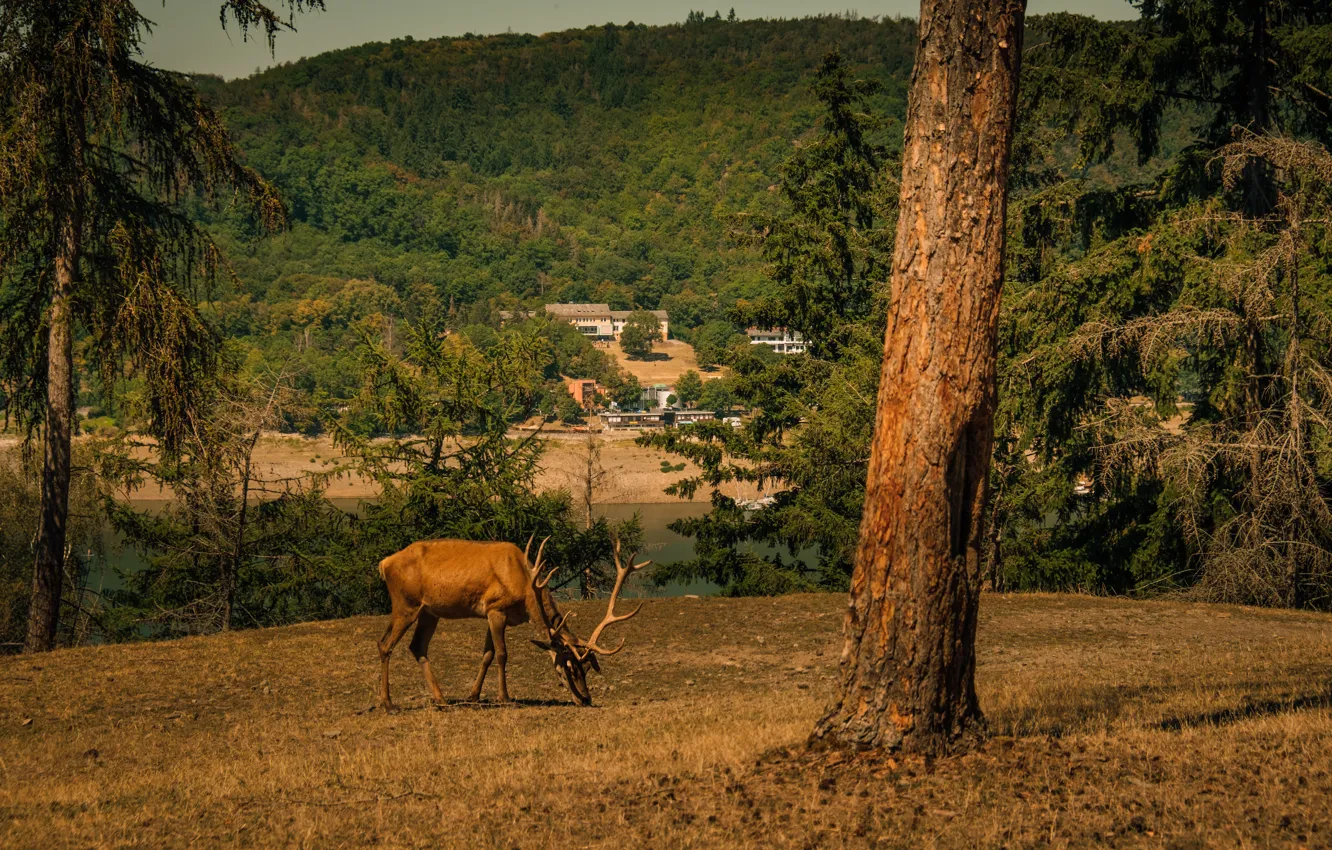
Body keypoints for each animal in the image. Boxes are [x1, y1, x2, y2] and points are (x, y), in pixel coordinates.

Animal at [376, 535, 649, 711]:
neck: (526, 591)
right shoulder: (496, 608)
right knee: (386, 644)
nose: (585, 698)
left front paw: (473, 696)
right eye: (568, 667)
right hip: (406, 605)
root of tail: (383, 563)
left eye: (588, 668)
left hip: (428, 612)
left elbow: (486, 654)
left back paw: (441, 698)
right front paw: (505, 697)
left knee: (415, 646)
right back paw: (389, 703)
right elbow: (502, 654)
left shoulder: (494, 614)